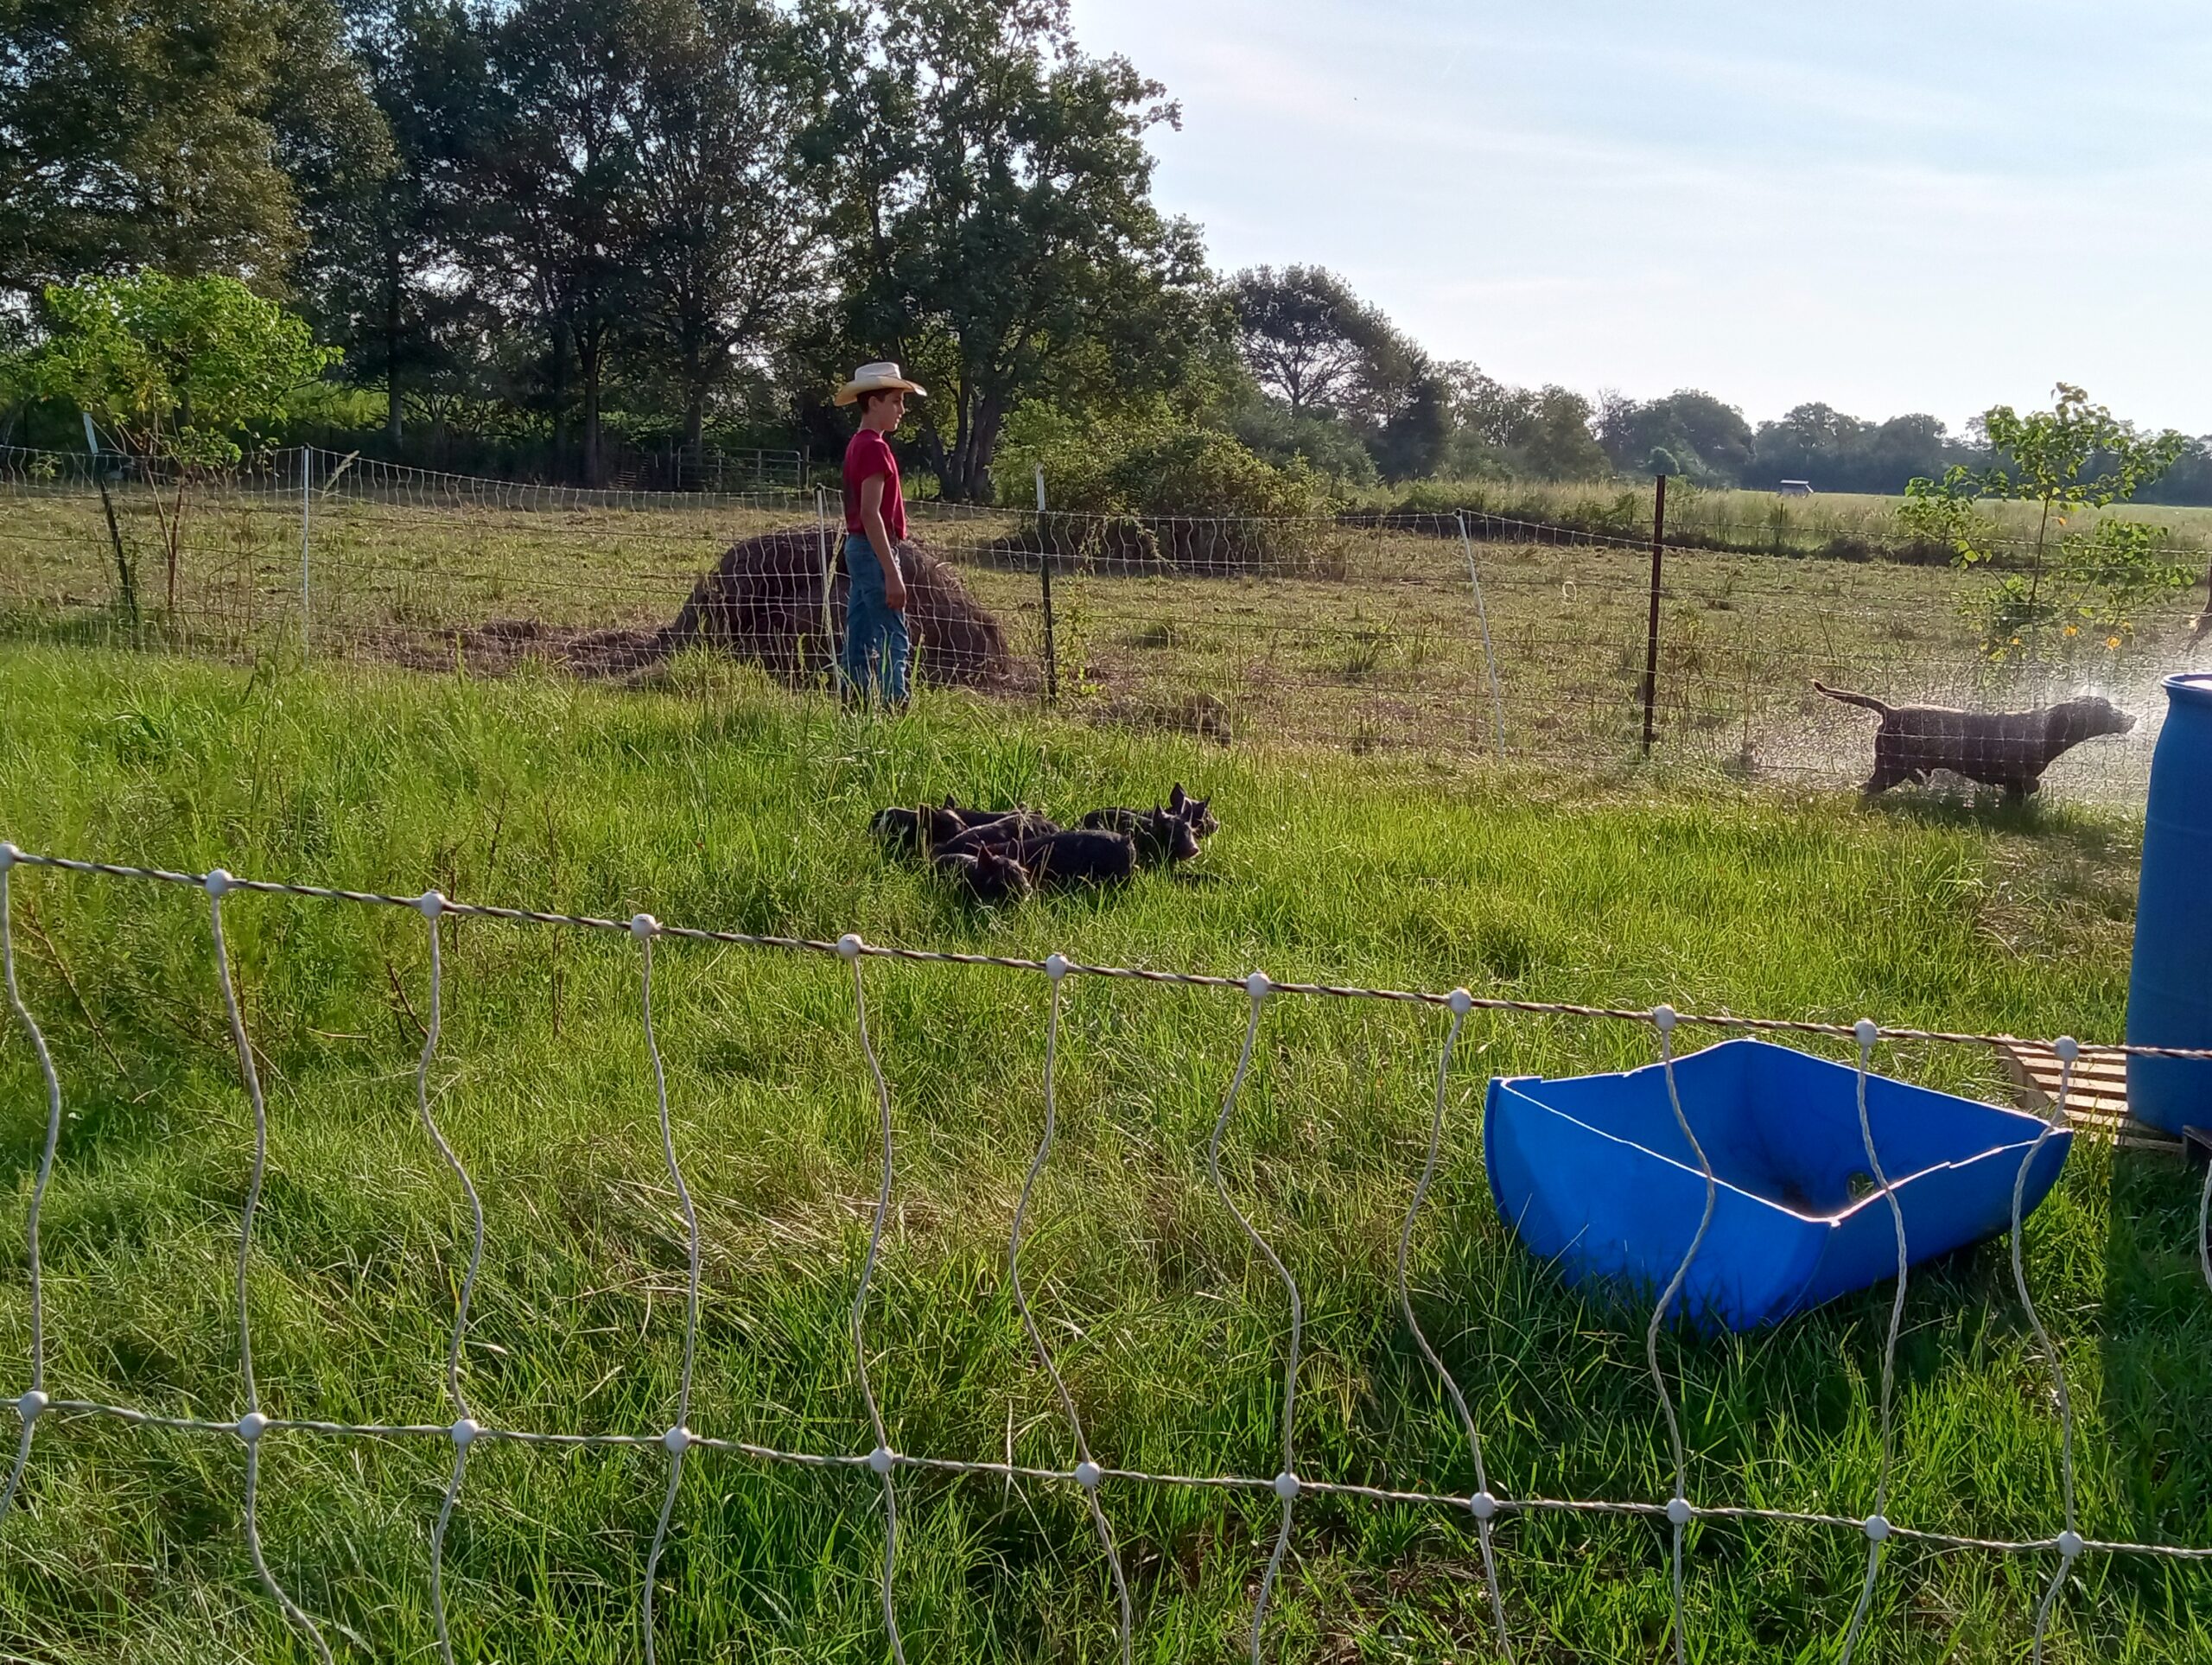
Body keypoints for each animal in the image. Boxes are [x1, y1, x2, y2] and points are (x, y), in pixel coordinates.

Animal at [1804, 681, 2132, 800]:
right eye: (2107, 709)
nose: (2133, 718)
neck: (2047, 728)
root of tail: (1891, 710)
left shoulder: (2014, 785)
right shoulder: (2013, 769)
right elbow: (2032, 783)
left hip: (1886, 770)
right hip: (1891, 767)